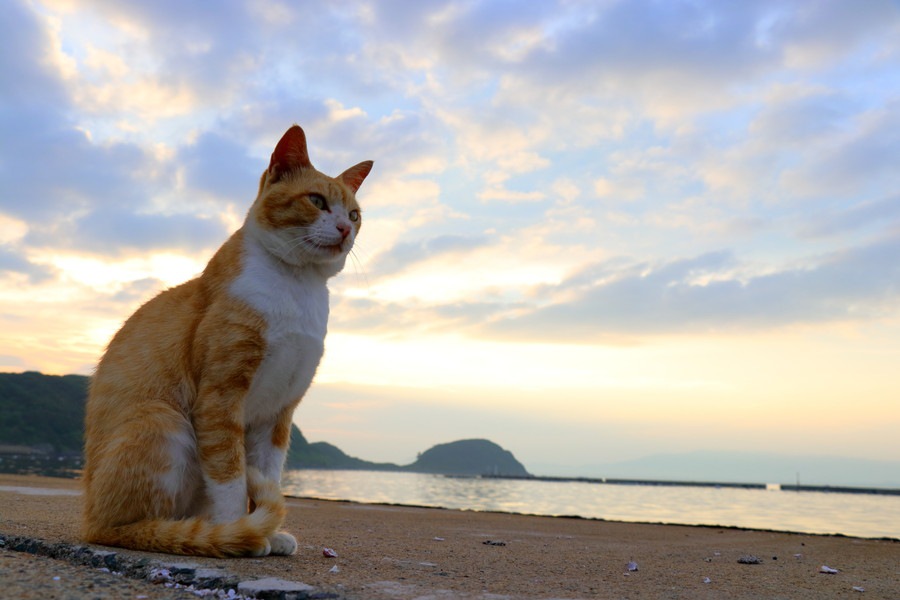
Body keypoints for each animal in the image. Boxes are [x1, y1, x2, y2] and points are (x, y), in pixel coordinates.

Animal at [80, 125, 370, 556]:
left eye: (354, 214)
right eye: (317, 201)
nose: (345, 229)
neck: (297, 287)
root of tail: (88, 519)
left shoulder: (278, 411)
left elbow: (266, 472)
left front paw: (265, 531)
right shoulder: (220, 396)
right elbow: (230, 474)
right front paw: (240, 530)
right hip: (163, 419)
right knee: (127, 527)